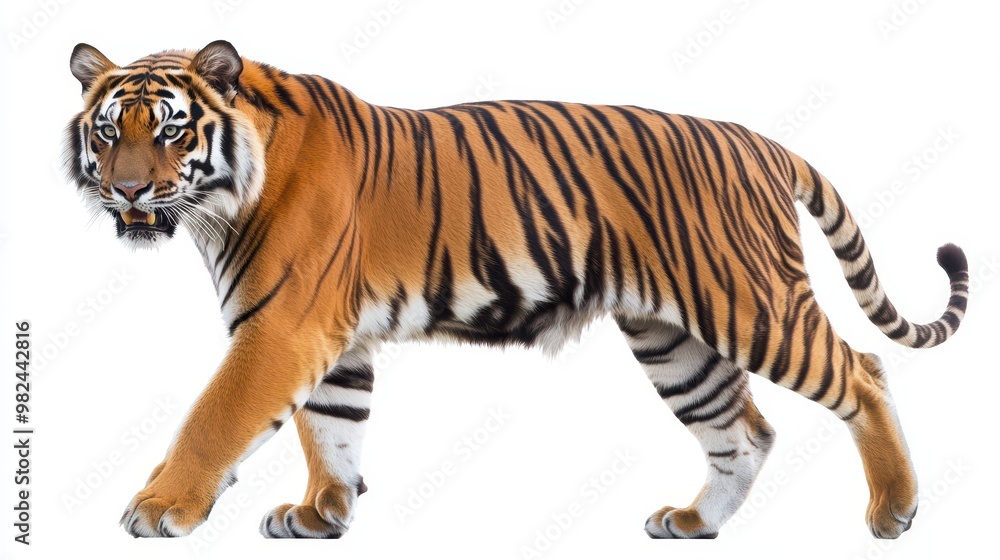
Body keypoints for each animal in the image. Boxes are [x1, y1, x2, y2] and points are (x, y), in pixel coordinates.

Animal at [64, 40, 969, 540]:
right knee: (743, 432)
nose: (129, 192)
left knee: (863, 373)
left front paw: (159, 508)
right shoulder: (332, 337)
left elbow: (215, 421)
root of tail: (761, 142)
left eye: (170, 130)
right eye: (108, 133)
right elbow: (334, 428)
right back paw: (694, 523)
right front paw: (324, 513)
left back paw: (894, 510)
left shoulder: (283, 326)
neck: (219, 204)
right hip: (675, 341)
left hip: (751, 305)